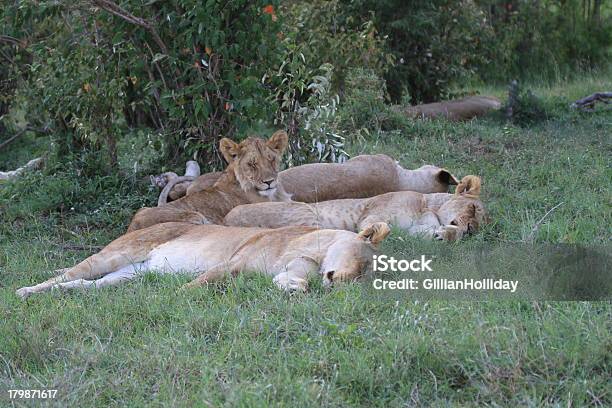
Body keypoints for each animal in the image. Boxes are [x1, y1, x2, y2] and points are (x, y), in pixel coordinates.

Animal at [225, 174, 488, 241]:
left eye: (483, 224)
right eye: (474, 209)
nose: (471, 230)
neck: (428, 207)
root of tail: (227, 218)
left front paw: (445, 235)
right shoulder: (371, 215)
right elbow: (381, 227)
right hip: (306, 214)